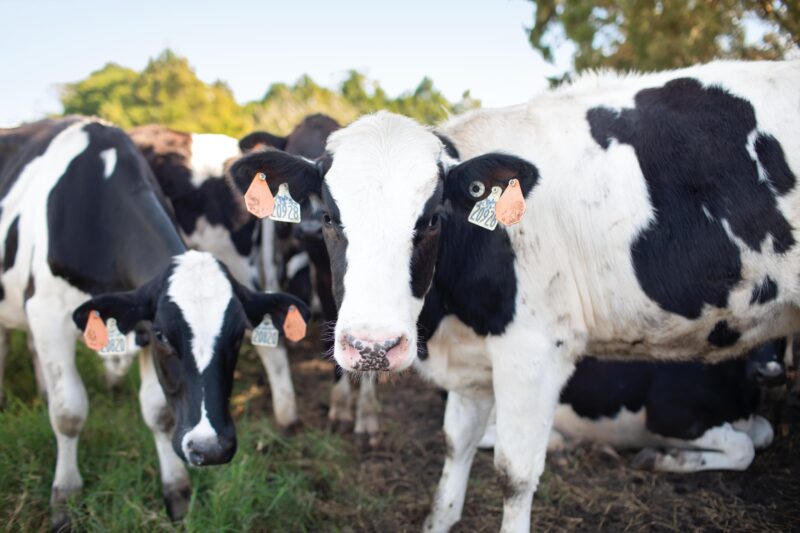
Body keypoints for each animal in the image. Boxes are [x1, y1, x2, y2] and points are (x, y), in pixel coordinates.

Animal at [0, 117, 309, 528]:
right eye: (164, 335)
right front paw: (65, 497)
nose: (210, 448)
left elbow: (159, 412)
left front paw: (176, 491)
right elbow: (68, 413)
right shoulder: (48, 314)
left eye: (237, 335)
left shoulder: (138, 323)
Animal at [228, 59, 800, 531]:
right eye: (328, 216)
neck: (451, 315)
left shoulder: (535, 354)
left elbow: (514, 473)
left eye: (431, 218)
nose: (372, 347)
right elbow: (454, 452)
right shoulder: (473, 365)